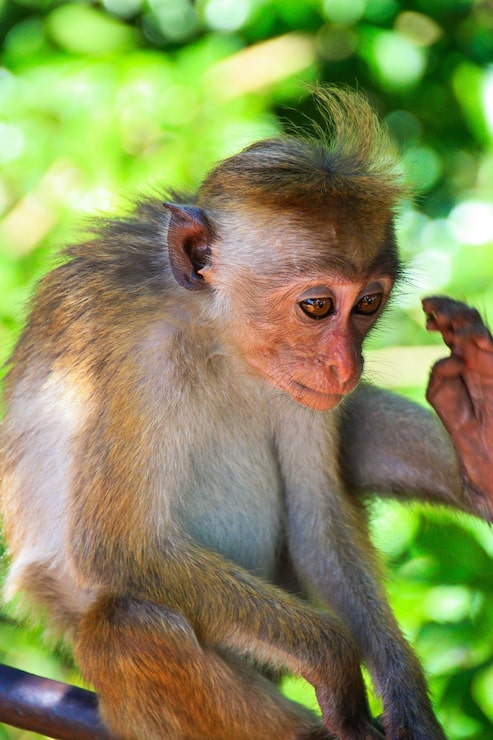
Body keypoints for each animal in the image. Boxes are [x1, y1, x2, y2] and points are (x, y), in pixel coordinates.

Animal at [1, 86, 492, 740]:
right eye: (317, 306)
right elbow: (119, 549)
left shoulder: (305, 390)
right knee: (124, 626)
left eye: (367, 303)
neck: (218, 337)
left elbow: (317, 522)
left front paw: (405, 693)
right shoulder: (136, 364)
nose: (345, 364)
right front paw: (337, 663)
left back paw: (478, 443)